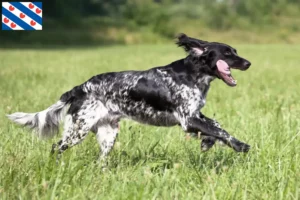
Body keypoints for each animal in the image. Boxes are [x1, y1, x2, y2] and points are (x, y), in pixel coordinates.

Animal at [6, 33, 251, 160]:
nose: (248, 63)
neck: (192, 74)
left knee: (100, 160)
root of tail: (80, 88)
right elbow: (221, 131)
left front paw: (208, 142)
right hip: (79, 129)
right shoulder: (187, 119)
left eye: (235, 51)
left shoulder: (195, 115)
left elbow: (216, 126)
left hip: (108, 133)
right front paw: (240, 145)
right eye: (228, 53)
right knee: (56, 147)